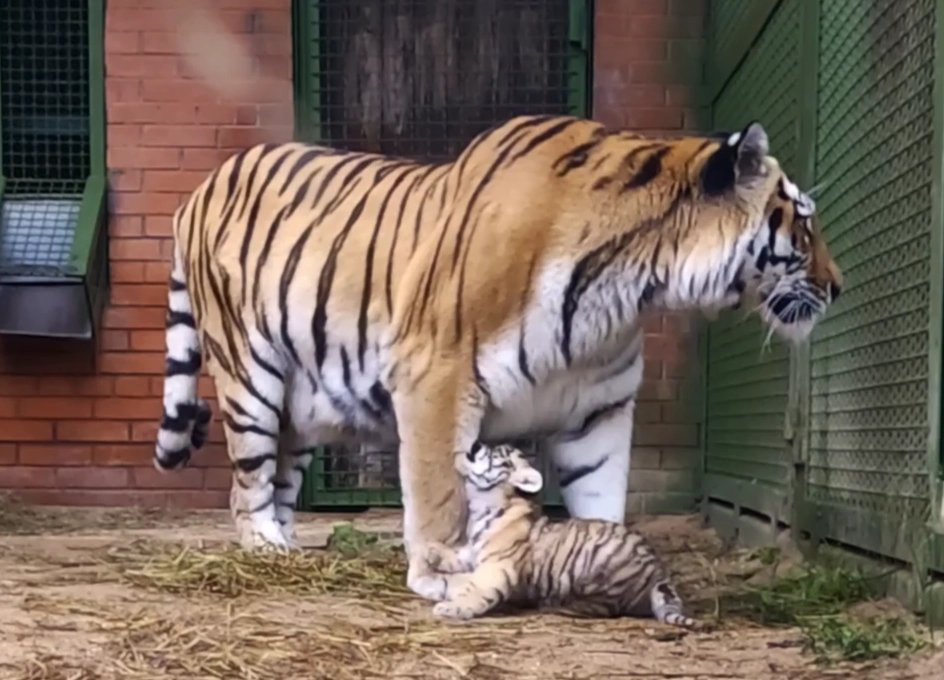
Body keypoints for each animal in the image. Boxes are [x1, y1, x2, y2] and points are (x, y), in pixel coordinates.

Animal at [151, 113, 843, 600]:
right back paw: (265, 550)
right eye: (804, 225)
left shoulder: (599, 408)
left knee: (281, 480)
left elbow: (602, 498)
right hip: (251, 377)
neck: (633, 281)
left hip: (302, 400)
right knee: (247, 485)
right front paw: (435, 576)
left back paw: (291, 549)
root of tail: (198, 190)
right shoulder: (434, 378)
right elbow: (437, 496)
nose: (839, 287)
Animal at [413, 441, 696, 625]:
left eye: (497, 454)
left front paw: (451, 607)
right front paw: (430, 553)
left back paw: (554, 604)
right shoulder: (472, 554)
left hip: (599, 571)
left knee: (604, 606)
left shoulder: (498, 569)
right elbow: (452, 555)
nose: (475, 444)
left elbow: (475, 591)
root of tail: (658, 570)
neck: (482, 505)